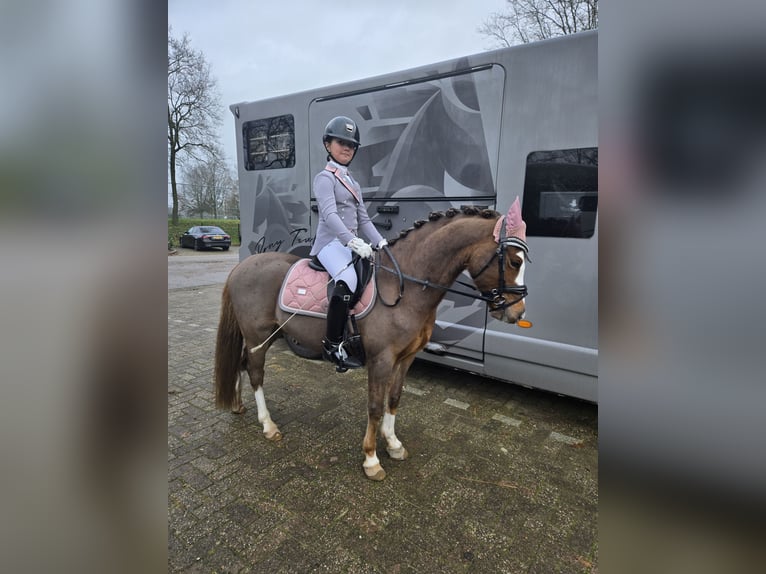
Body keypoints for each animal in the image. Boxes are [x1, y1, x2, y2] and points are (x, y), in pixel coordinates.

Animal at [214, 204, 530, 481]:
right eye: (514, 261)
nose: (517, 313)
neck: (405, 287)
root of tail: (242, 267)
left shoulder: (406, 358)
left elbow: (394, 398)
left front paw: (393, 444)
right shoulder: (381, 359)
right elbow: (376, 406)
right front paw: (371, 459)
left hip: (268, 334)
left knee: (242, 364)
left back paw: (238, 406)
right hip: (257, 336)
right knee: (256, 372)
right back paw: (268, 425)